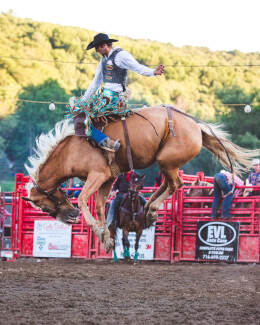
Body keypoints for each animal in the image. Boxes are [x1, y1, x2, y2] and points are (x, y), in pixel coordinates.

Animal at [22, 105, 260, 252]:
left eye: (44, 206)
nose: (70, 218)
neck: (70, 152)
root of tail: (197, 127)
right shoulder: (108, 178)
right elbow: (99, 206)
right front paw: (106, 239)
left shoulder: (98, 175)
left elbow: (82, 199)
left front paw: (99, 232)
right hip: (166, 162)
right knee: (169, 183)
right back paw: (148, 210)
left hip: (167, 160)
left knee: (176, 183)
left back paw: (152, 209)